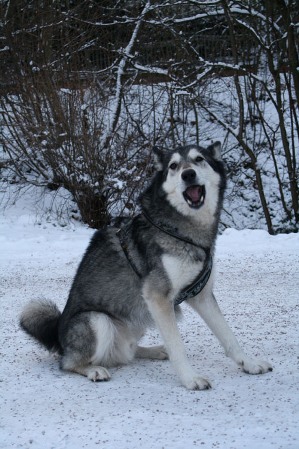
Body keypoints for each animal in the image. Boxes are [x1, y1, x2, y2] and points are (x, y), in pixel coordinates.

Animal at [20, 143, 274, 388]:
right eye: (173, 166)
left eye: (199, 159)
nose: (188, 174)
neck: (183, 231)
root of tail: (58, 336)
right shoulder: (158, 298)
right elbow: (177, 345)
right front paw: (189, 379)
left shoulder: (201, 295)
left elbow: (229, 337)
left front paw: (249, 363)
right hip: (98, 320)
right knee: (69, 364)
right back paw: (93, 369)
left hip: (139, 316)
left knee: (128, 352)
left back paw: (154, 350)